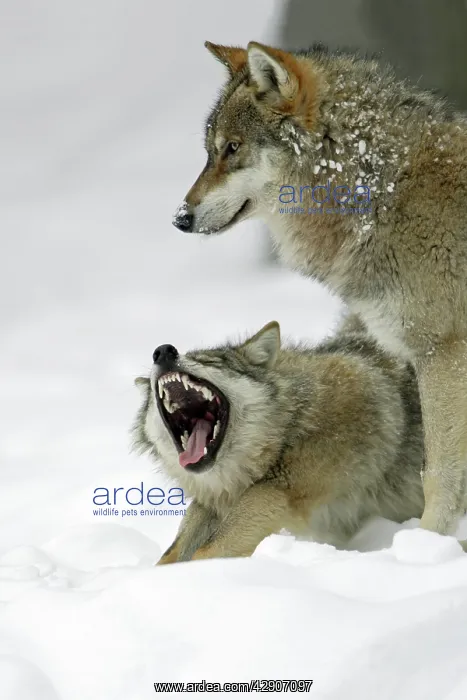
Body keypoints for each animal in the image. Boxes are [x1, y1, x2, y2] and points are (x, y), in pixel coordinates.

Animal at [133, 317, 425, 563]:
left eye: (210, 362)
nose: (163, 351)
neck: (290, 422)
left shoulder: (281, 487)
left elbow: (212, 546)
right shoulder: (213, 502)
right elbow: (174, 550)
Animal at [172, 41, 467, 539]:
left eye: (232, 148)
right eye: (211, 151)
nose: (180, 218)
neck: (381, 194)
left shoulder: (441, 353)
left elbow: (440, 473)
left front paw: (427, 543)